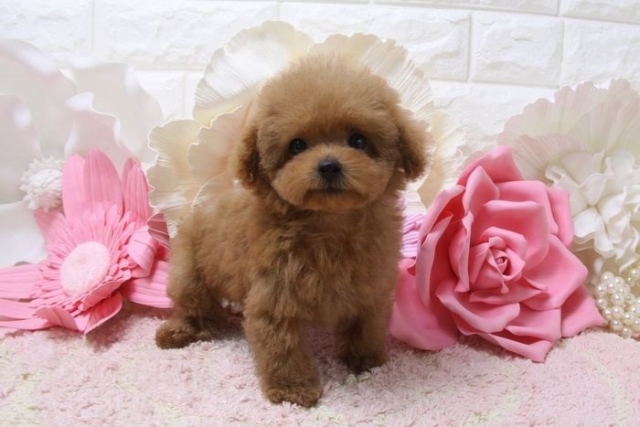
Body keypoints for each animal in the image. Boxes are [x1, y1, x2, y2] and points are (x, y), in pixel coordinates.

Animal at [155, 53, 431, 407]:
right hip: (188, 271)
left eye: (358, 140)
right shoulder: (275, 295)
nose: (328, 165)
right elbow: (282, 346)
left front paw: (366, 359)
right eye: (297, 145)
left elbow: (366, 324)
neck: (329, 224)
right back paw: (179, 331)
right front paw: (293, 389)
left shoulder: (371, 285)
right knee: (193, 305)